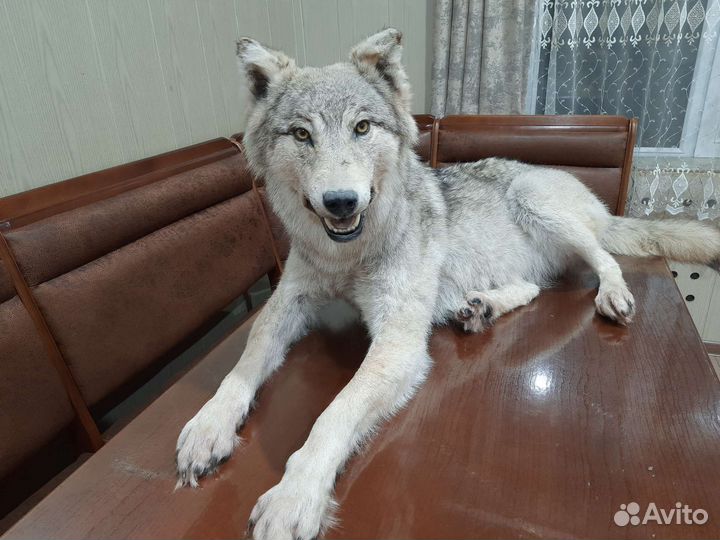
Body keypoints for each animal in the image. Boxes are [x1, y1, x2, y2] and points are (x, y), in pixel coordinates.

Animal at [175, 28, 720, 539]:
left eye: (362, 127)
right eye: (301, 135)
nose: (341, 202)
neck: (350, 255)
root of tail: (595, 202)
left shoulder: (398, 343)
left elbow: (334, 412)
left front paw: (295, 495)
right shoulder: (288, 303)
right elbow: (243, 367)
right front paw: (209, 425)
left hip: (537, 203)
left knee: (605, 259)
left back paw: (610, 295)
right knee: (532, 289)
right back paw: (479, 308)